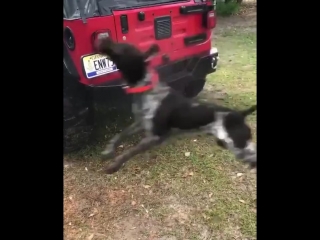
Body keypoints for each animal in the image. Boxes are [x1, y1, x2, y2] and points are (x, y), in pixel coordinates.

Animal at [95, 37, 258, 173]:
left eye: (121, 48)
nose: (103, 38)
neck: (146, 88)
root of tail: (240, 114)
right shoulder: (140, 123)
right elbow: (120, 135)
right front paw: (109, 150)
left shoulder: (155, 136)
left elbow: (129, 152)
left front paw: (114, 165)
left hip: (239, 145)